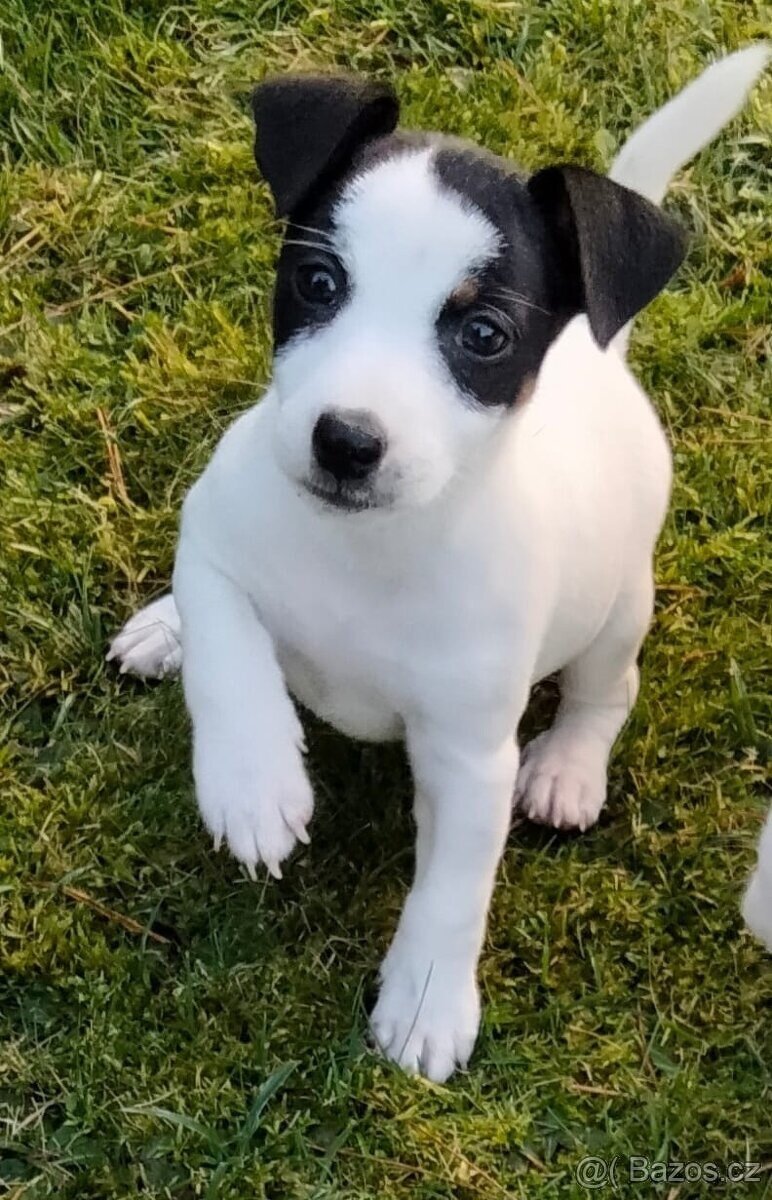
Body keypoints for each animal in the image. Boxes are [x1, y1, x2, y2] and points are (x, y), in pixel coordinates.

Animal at [107, 44, 768, 1080]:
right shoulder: (210, 533)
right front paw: (253, 782)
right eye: (318, 283)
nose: (344, 441)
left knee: (606, 690)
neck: (369, 547)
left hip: (620, 606)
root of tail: (603, 354)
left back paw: (568, 768)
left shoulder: (467, 757)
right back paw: (161, 630)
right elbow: (229, 647)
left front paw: (425, 1000)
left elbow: (454, 889)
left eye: (483, 335)